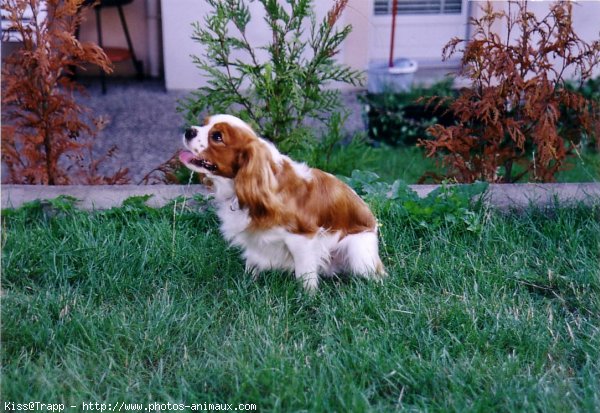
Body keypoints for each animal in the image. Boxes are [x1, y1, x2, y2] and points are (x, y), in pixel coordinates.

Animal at [178, 114, 386, 292]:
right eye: (204, 123)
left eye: (217, 137)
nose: (189, 130)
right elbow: (252, 262)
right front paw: (247, 284)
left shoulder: (302, 238)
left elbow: (304, 274)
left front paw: (307, 299)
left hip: (358, 254)